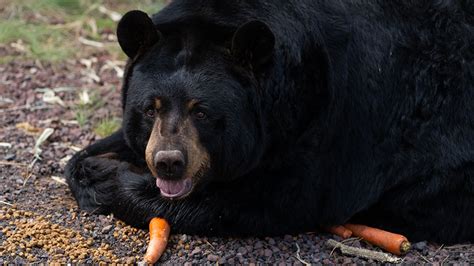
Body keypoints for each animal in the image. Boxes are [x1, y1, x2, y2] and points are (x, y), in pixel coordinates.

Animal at [65, 0, 472, 243]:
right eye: (150, 108)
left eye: (203, 112)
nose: (168, 162)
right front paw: (92, 164)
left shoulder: (339, 119)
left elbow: (267, 201)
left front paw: (108, 177)